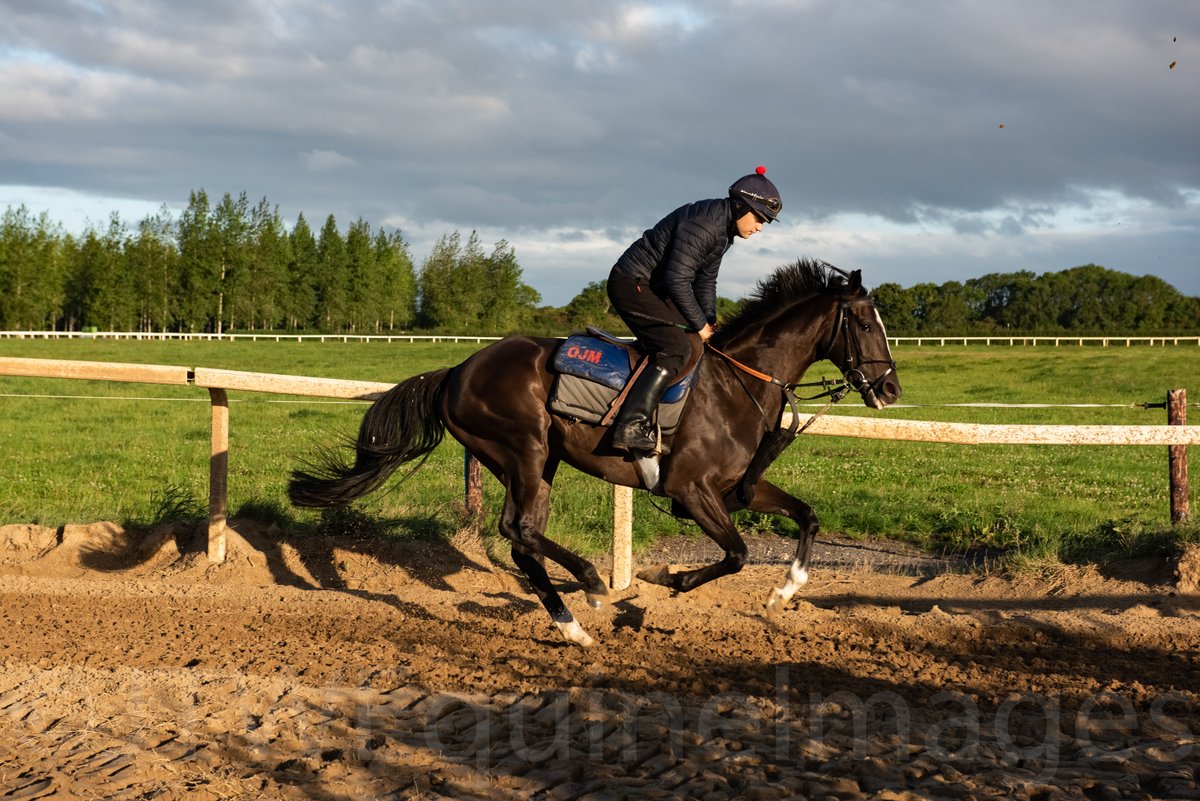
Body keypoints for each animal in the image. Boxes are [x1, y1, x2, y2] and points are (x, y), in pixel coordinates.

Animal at [288, 260, 902, 647]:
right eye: (865, 322)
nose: (891, 389)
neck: (737, 385)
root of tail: (457, 370)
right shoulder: (691, 490)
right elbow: (736, 554)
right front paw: (666, 579)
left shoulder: (733, 489)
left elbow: (807, 517)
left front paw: (782, 594)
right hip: (524, 449)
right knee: (519, 531)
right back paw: (590, 585)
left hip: (538, 460)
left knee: (523, 539)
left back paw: (574, 627)